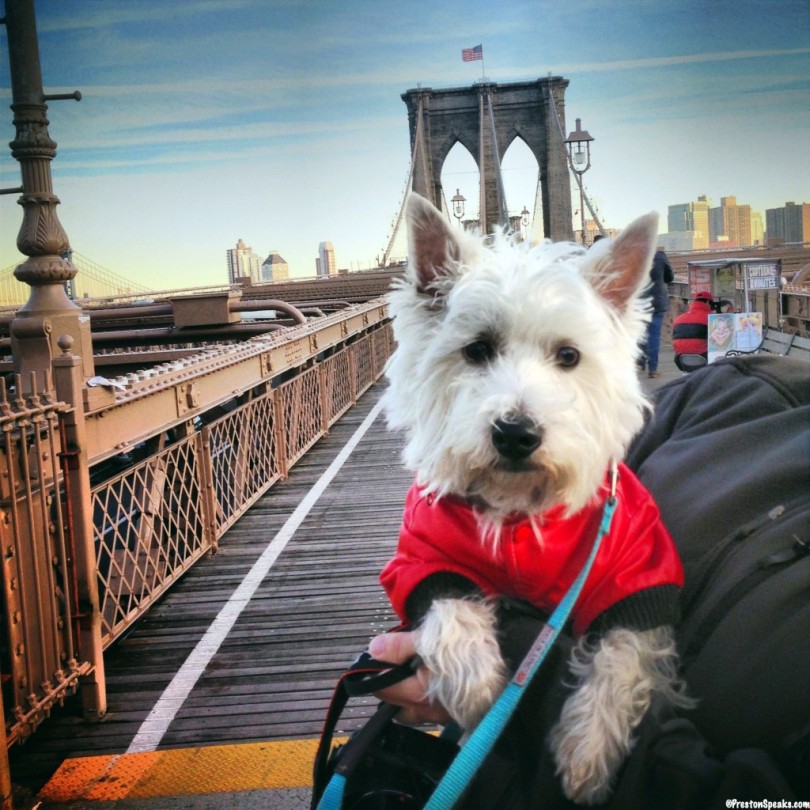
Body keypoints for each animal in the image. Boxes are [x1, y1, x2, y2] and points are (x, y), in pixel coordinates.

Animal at [378, 194, 688, 800]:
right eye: (477, 349)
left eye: (568, 356)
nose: (516, 433)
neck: (519, 509)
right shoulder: (423, 555)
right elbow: (448, 604)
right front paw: (478, 689)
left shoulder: (637, 570)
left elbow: (624, 650)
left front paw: (588, 751)